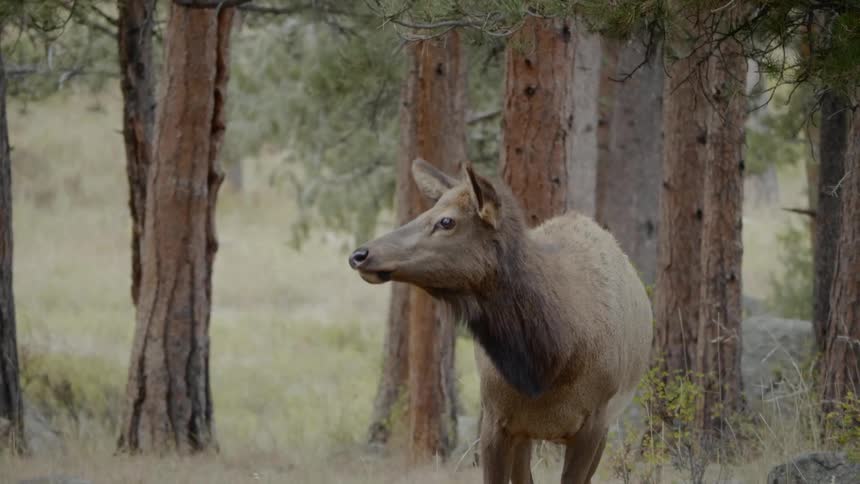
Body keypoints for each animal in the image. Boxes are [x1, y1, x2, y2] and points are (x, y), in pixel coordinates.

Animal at [348, 159, 653, 484]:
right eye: (425, 212)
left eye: (447, 221)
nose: (360, 254)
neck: (548, 362)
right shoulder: (496, 419)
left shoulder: (594, 422)